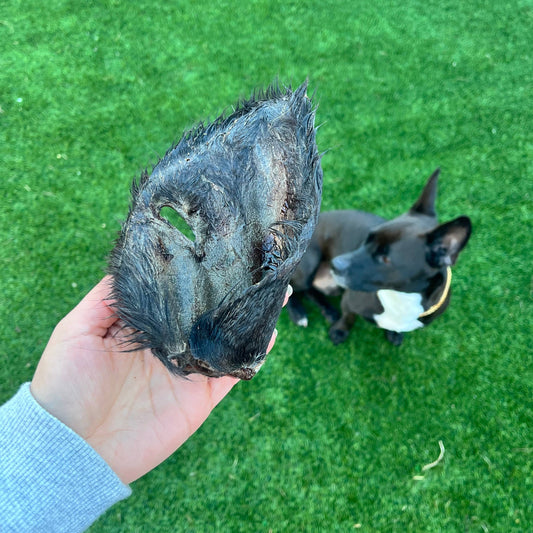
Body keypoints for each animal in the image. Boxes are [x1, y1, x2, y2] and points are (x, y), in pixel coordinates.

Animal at [286, 170, 470, 344]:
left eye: (385, 259)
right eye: (367, 239)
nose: (335, 264)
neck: (402, 298)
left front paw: (394, 333)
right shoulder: (349, 301)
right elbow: (348, 317)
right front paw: (339, 331)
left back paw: (328, 310)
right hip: (307, 266)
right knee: (291, 287)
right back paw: (298, 313)